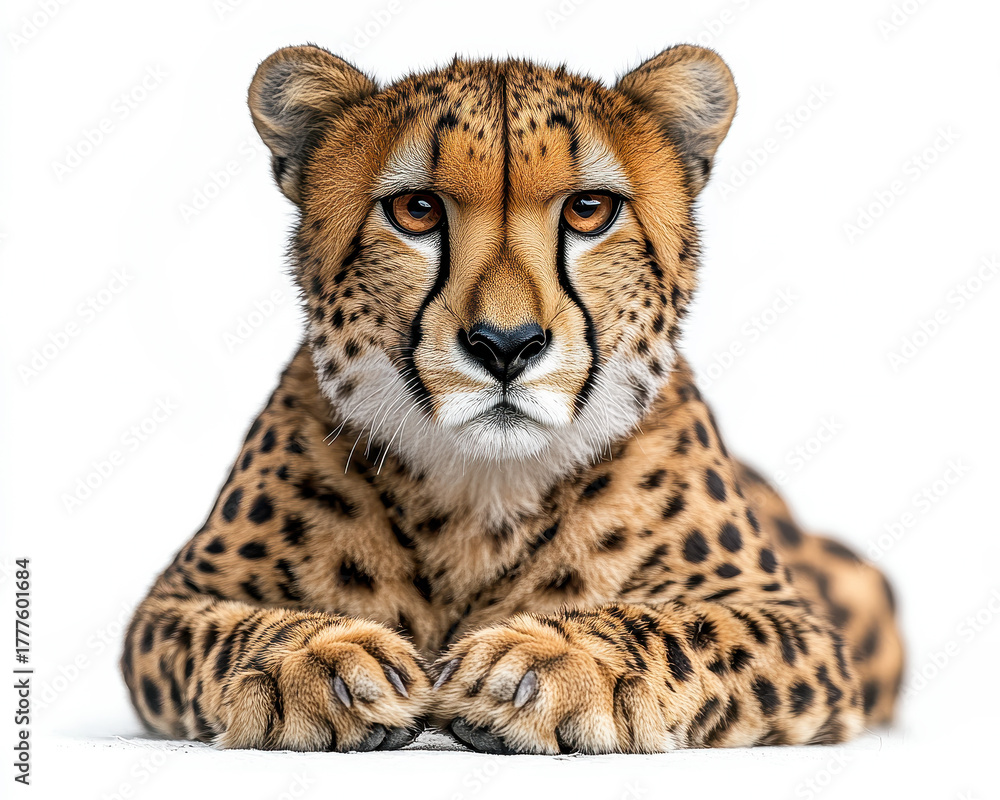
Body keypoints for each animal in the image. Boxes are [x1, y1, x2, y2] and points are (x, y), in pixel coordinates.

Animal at [121, 43, 904, 754]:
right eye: (415, 209)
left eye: (589, 210)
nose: (505, 345)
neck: (482, 495)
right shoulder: (167, 604)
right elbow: (229, 627)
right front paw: (318, 661)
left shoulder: (796, 623)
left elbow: (686, 625)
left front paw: (553, 661)